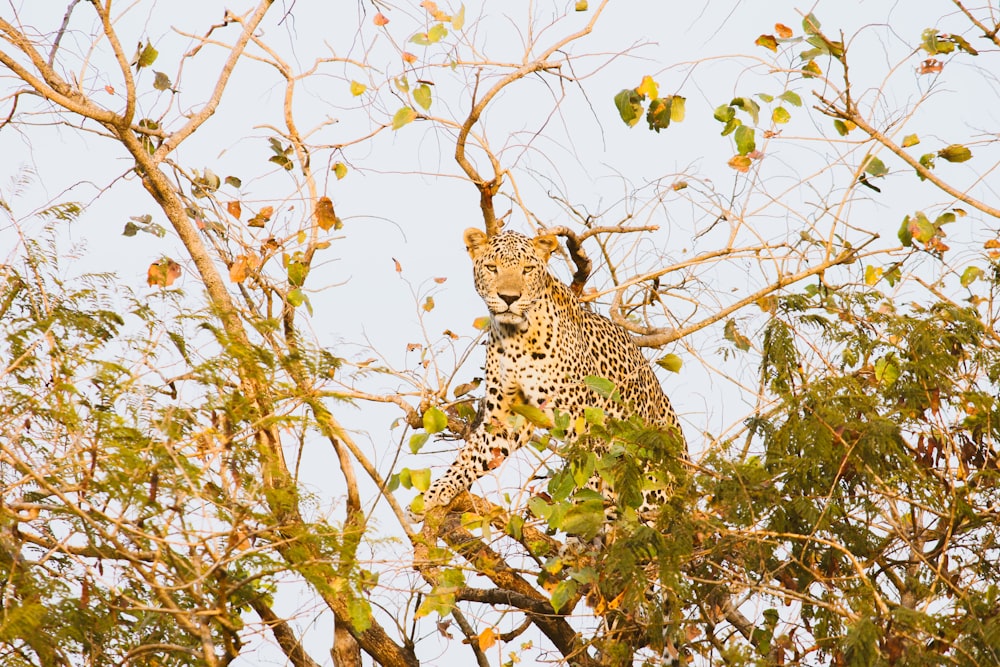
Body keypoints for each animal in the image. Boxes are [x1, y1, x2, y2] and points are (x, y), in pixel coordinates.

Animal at [418, 230, 684, 516]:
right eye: (492, 268)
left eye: (527, 269)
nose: (509, 298)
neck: (515, 337)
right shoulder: (505, 416)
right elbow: (472, 455)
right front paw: (435, 492)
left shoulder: (582, 422)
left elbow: (585, 473)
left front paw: (580, 512)